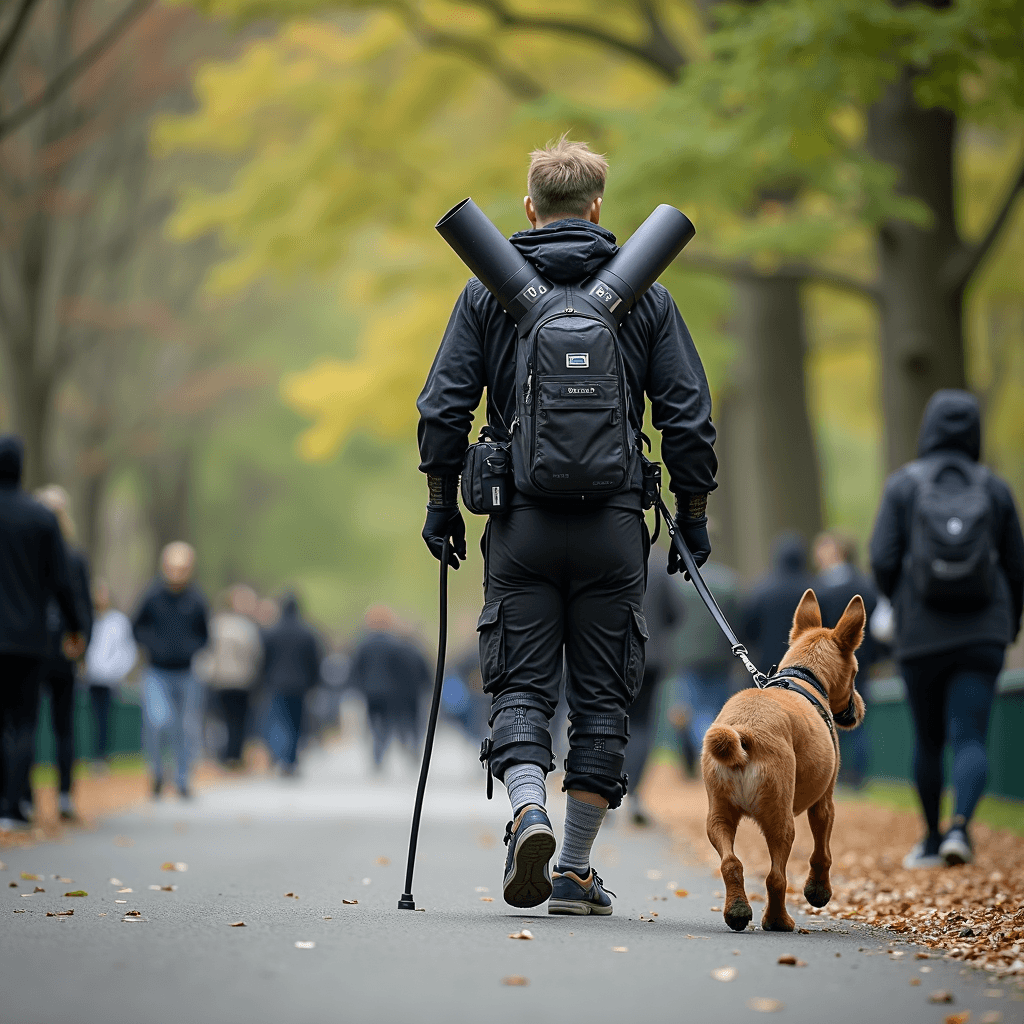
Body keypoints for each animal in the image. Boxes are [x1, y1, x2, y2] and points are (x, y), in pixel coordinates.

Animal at [700, 589, 860, 933]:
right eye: (855, 673)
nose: (858, 708)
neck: (803, 677)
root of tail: (743, 731)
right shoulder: (824, 802)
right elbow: (822, 852)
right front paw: (818, 891)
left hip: (719, 814)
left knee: (731, 863)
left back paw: (737, 911)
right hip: (781, 819)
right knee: (776, 877)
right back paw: (777, 920)